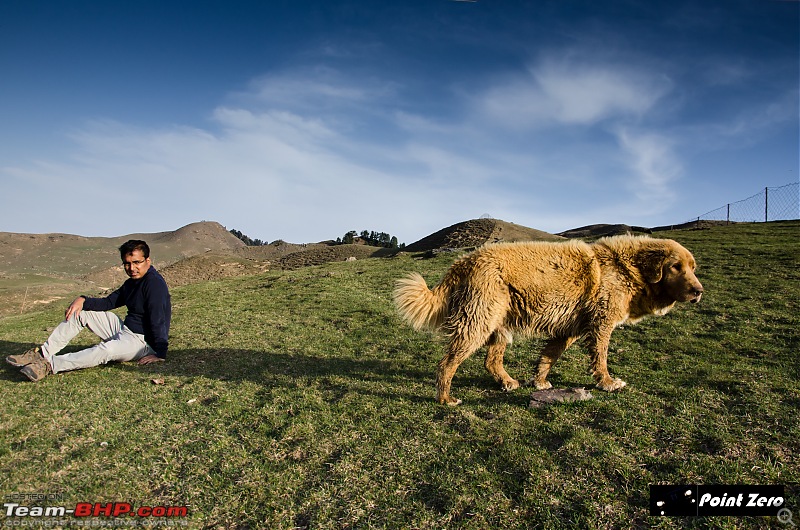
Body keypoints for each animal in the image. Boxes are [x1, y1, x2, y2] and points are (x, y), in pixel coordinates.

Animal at [392, 235, 700, 404]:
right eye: (676, 267)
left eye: (693, 267)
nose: (699, 291)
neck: (629, 268)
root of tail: (464, 261)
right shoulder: (600, 325)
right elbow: (600, 358)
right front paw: (607, 382)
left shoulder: (571, 329)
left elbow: (549, 356)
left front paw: (539, 382)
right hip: (478, 321)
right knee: (447, 363)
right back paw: (445, 398)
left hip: (499, 324)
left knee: (490, 360)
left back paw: (507, 382)